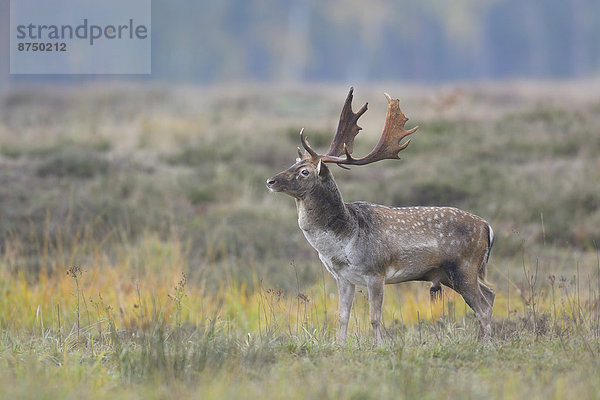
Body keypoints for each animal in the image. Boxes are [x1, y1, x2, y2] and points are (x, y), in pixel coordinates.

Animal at [268, 89, 496, 346]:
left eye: (304, 172)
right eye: (293, 163)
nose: (271, 181)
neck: (342, 243)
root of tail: (487, 227)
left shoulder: (376, 271)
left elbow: (374, 317)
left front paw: (378, 346)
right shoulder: (342, 278)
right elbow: (342, 316)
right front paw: (340, 345)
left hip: (464, 266)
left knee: (483, 306)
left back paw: (486, 344)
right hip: (450, 274)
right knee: (490, 295)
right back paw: (480, 340)